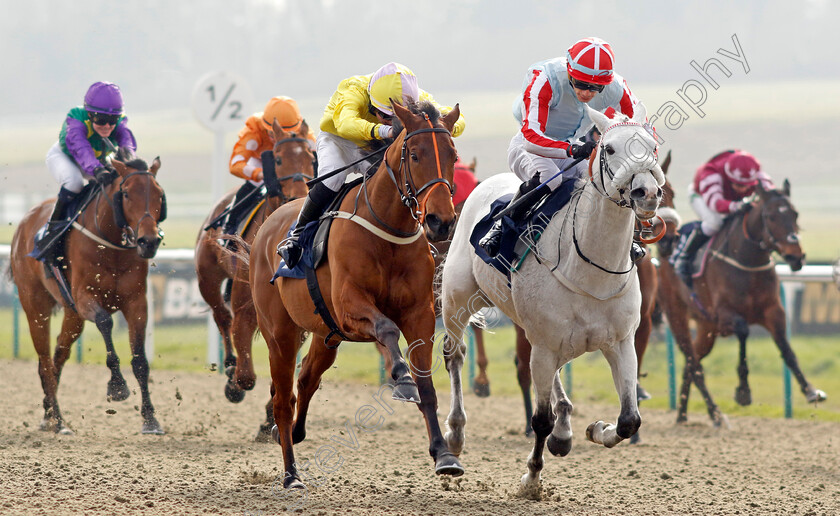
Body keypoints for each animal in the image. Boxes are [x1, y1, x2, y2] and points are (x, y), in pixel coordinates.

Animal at [9, 154, 167, 436]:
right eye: (127, 193)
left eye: (159, 194)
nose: (148, 241)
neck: (111, 246)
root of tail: (25, 222)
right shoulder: (85, 298)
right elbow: (105, 321)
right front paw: (117, 386)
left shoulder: (137, 303)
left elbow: (140, 360)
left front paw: (150, 419)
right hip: (35, 306)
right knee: (45, 360)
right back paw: (58, 420)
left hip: (72, 314)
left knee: (58, 355)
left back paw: (49, 414)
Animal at [195, 118, 314, 416]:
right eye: (278, 159)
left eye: (310, 157)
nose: (298, 196)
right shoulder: (245, 308)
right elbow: (246, 376)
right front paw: (234, 385)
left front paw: (271, 411)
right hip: (207, 278)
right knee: (221, 316)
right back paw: (228, 365)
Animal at [248, 101, 466, 488]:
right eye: (414, 154)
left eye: (452, 154)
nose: (441, 221)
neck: (388, 228)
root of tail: (267, 229)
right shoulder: (351, 307)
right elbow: (386, 330)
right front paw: (401, 378)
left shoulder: (420, 315)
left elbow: (427, 388)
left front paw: (444, 455)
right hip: (280, 334)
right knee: (283, 401)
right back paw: (291, 474)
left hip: (327, 334)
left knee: (306, 379)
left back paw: (294, 433)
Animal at [440, 104, 664, 488]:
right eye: (609, 149)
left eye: (651, 147)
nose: (646, 193)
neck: (591, 268)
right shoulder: (544, 344)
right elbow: (539, 420)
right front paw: (531, 480)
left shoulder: (620, 341)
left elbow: (629, 420)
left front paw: (595, 428)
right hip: (457, 299)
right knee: (455, 355)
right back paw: (455, 434)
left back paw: (564, 429)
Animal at [652, 177, 824, 424]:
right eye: (770, 216)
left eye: (795, 214)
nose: (796, 256)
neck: (748, 262)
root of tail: (663, 256)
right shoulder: (726, 315)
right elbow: (743, 333)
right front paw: (743, 392)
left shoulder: (774, 311)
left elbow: (786, 348)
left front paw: (810, 390)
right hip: (676, 315)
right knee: (694, 363)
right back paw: (713, 415)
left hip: (706, 327)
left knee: (691, 362)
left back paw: (683, 414)